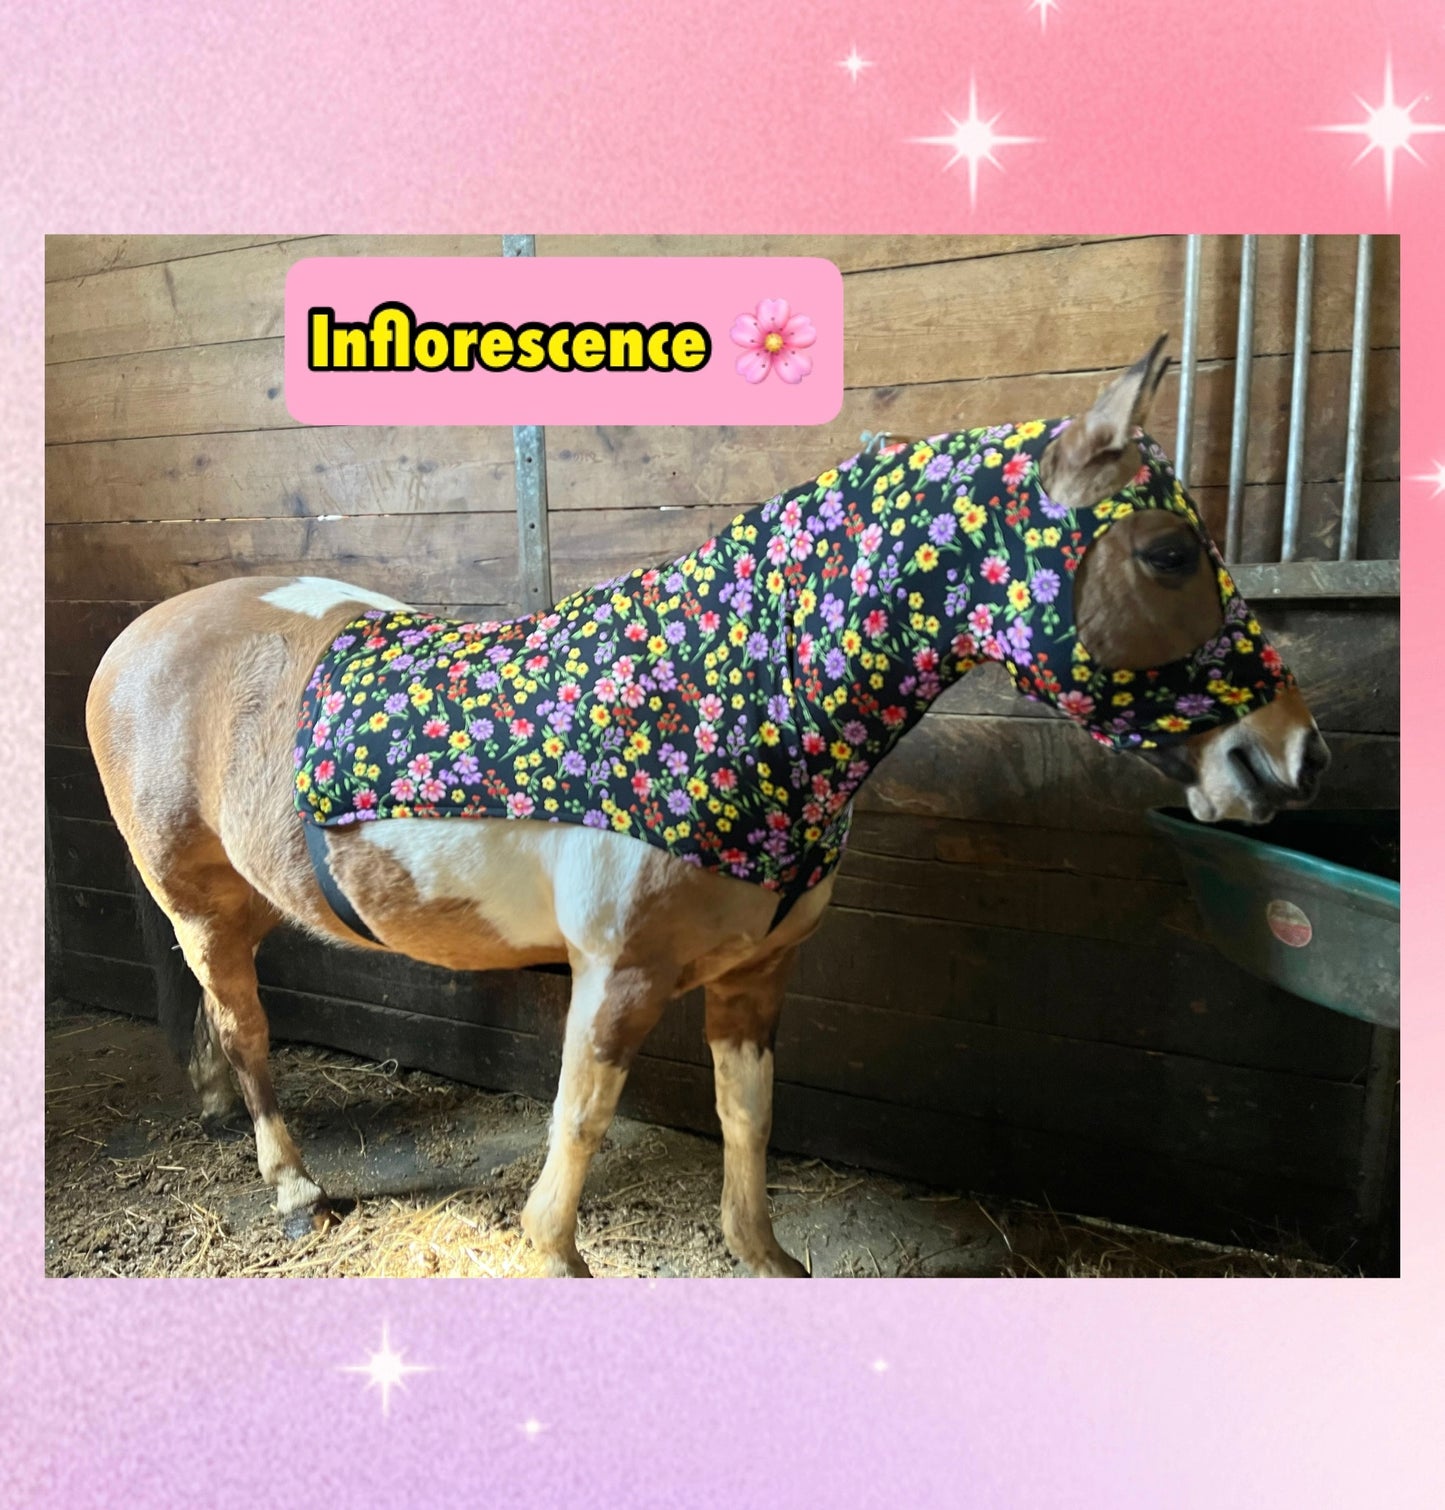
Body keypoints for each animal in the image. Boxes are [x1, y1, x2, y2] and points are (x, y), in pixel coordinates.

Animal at [84, 340, 1329, 1277]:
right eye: (1167, 551)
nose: (1289, 757)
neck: (726, 699)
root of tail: (134, 641)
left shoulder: (754, 976)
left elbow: (748, 1113)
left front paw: (761, 1254)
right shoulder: (618, 978)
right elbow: (578, 1122)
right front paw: (553, 1257)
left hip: (235, 903)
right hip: (198, 902)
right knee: (245, 1029)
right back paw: (296, 1186)